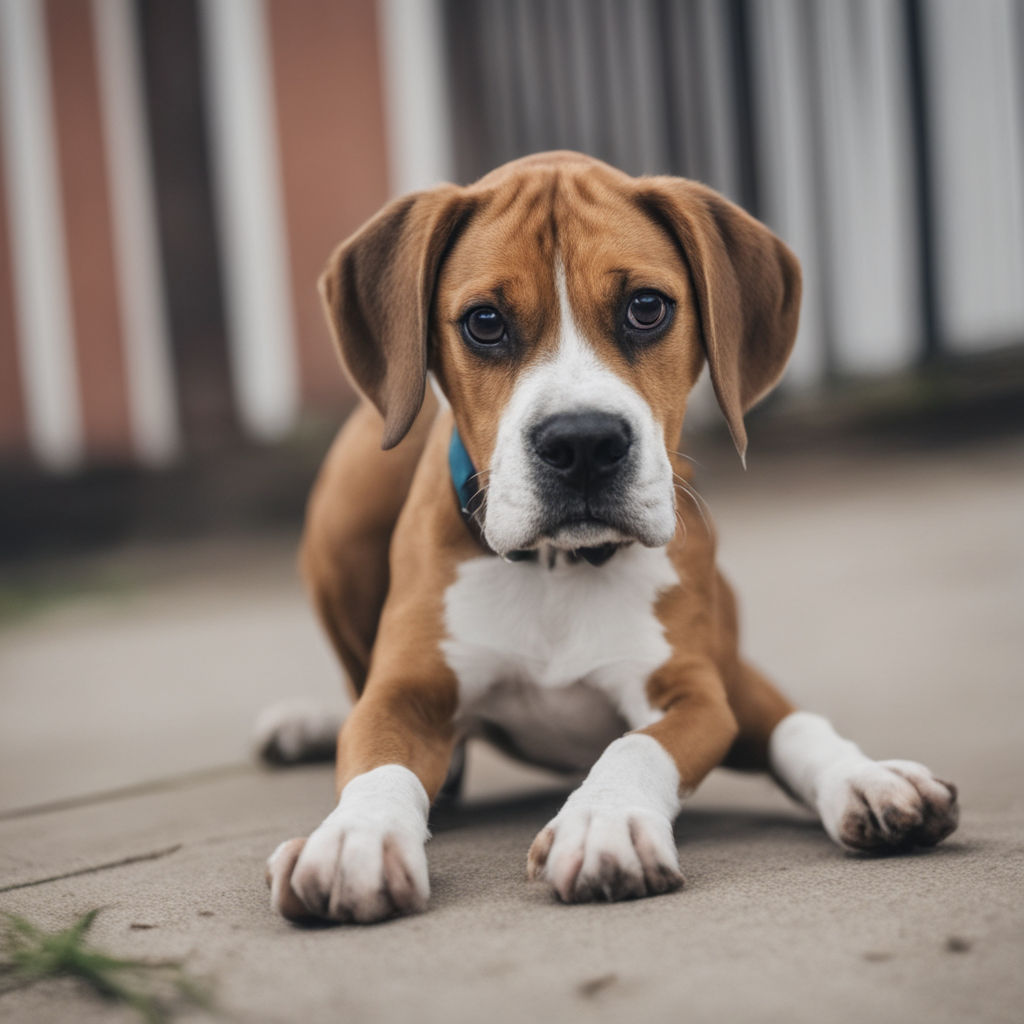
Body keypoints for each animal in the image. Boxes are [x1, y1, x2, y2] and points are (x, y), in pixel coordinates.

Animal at [264, 153, 958, 929]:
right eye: (484, 322)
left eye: (647, 308)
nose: (583, 442)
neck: (557, 568)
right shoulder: (403, 696)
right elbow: (376, 760)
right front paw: (354, 837)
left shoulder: (695, 694)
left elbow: (638, 746)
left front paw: (605, 823)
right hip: (345, 509)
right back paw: (309, 724)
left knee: (789, 718)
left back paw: (871, 780)